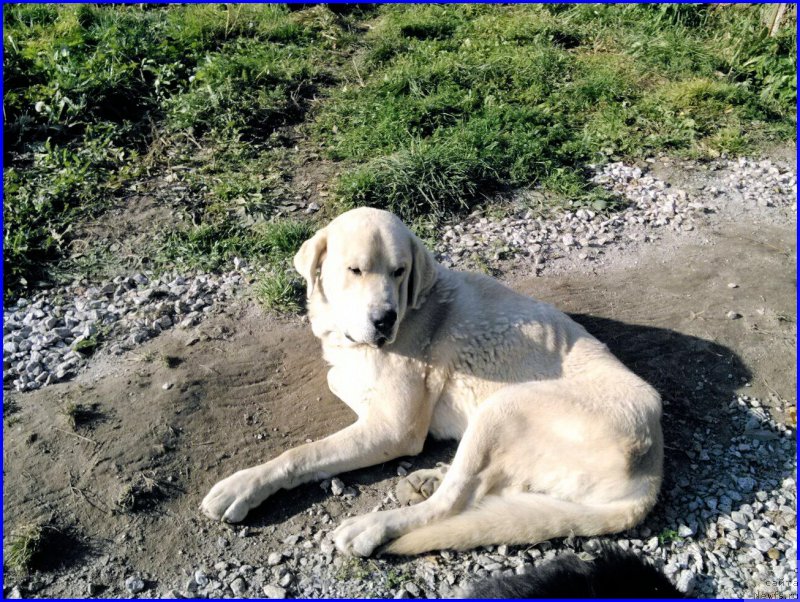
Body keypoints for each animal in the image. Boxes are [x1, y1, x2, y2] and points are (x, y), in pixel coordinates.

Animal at [200, 206, 664, 552]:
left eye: (399, 270)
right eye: (355, 270)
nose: (384, 319)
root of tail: (653, 465)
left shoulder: (394, 428)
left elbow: (304, 452)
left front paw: (245, 484)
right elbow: (338, 379)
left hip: (505, 407)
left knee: (452, 504)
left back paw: (373, 526)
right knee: (482, 488)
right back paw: (430, 477)